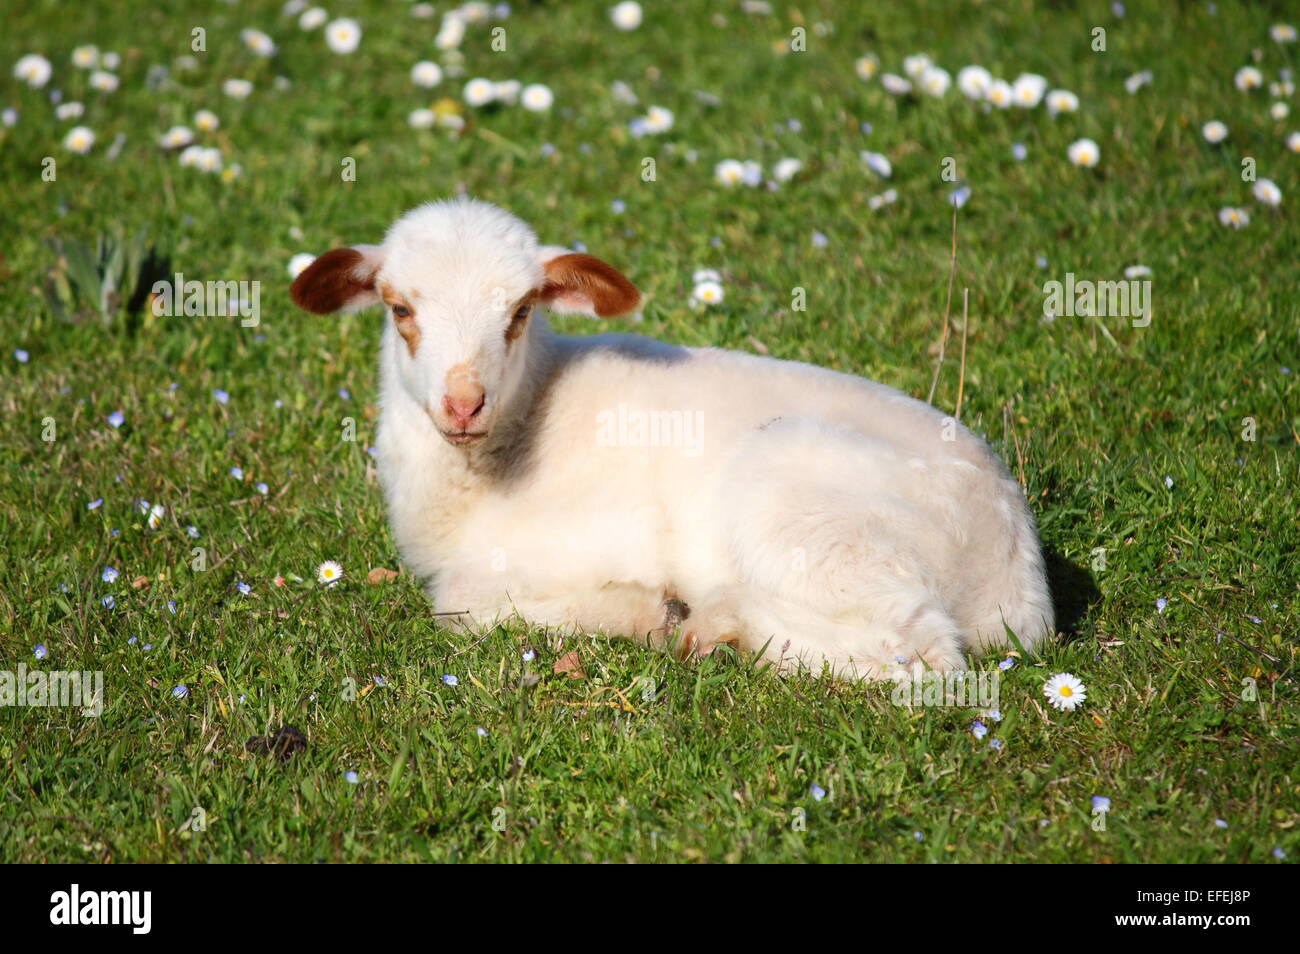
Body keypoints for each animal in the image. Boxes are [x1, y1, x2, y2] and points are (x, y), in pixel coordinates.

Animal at [290, 197, 1055, 679]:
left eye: (521, 311)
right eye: (399, 309)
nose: (463, 402)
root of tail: (1020, 581)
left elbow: (458, 602)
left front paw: (639, 610)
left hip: (808, 508)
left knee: (922, 655)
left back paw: (717, 625)